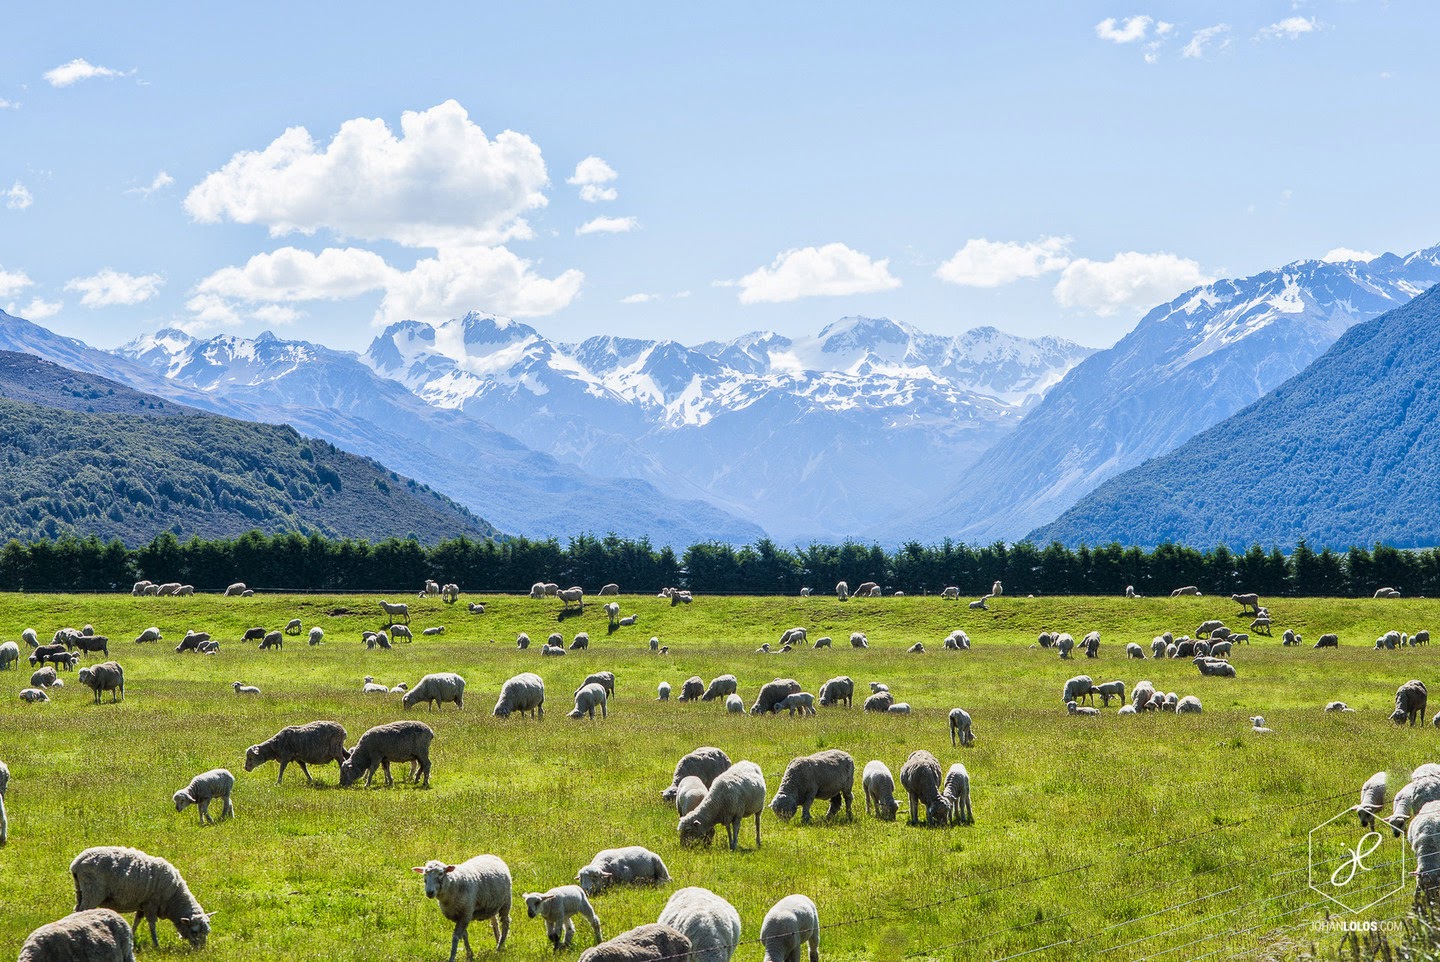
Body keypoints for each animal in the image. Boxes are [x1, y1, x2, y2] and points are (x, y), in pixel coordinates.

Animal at [71, 846, 210, 950]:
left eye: (207, 932)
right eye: (194, 932)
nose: (201, 951)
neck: (174, 898)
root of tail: (77, 863)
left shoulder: (142, 905)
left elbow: (136, 922)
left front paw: (131, 937)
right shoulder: (151, 903)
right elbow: (152, 924)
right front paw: (156, 945)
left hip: (80, 891)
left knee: (76, 910)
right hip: (92, 891)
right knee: (82, 910)